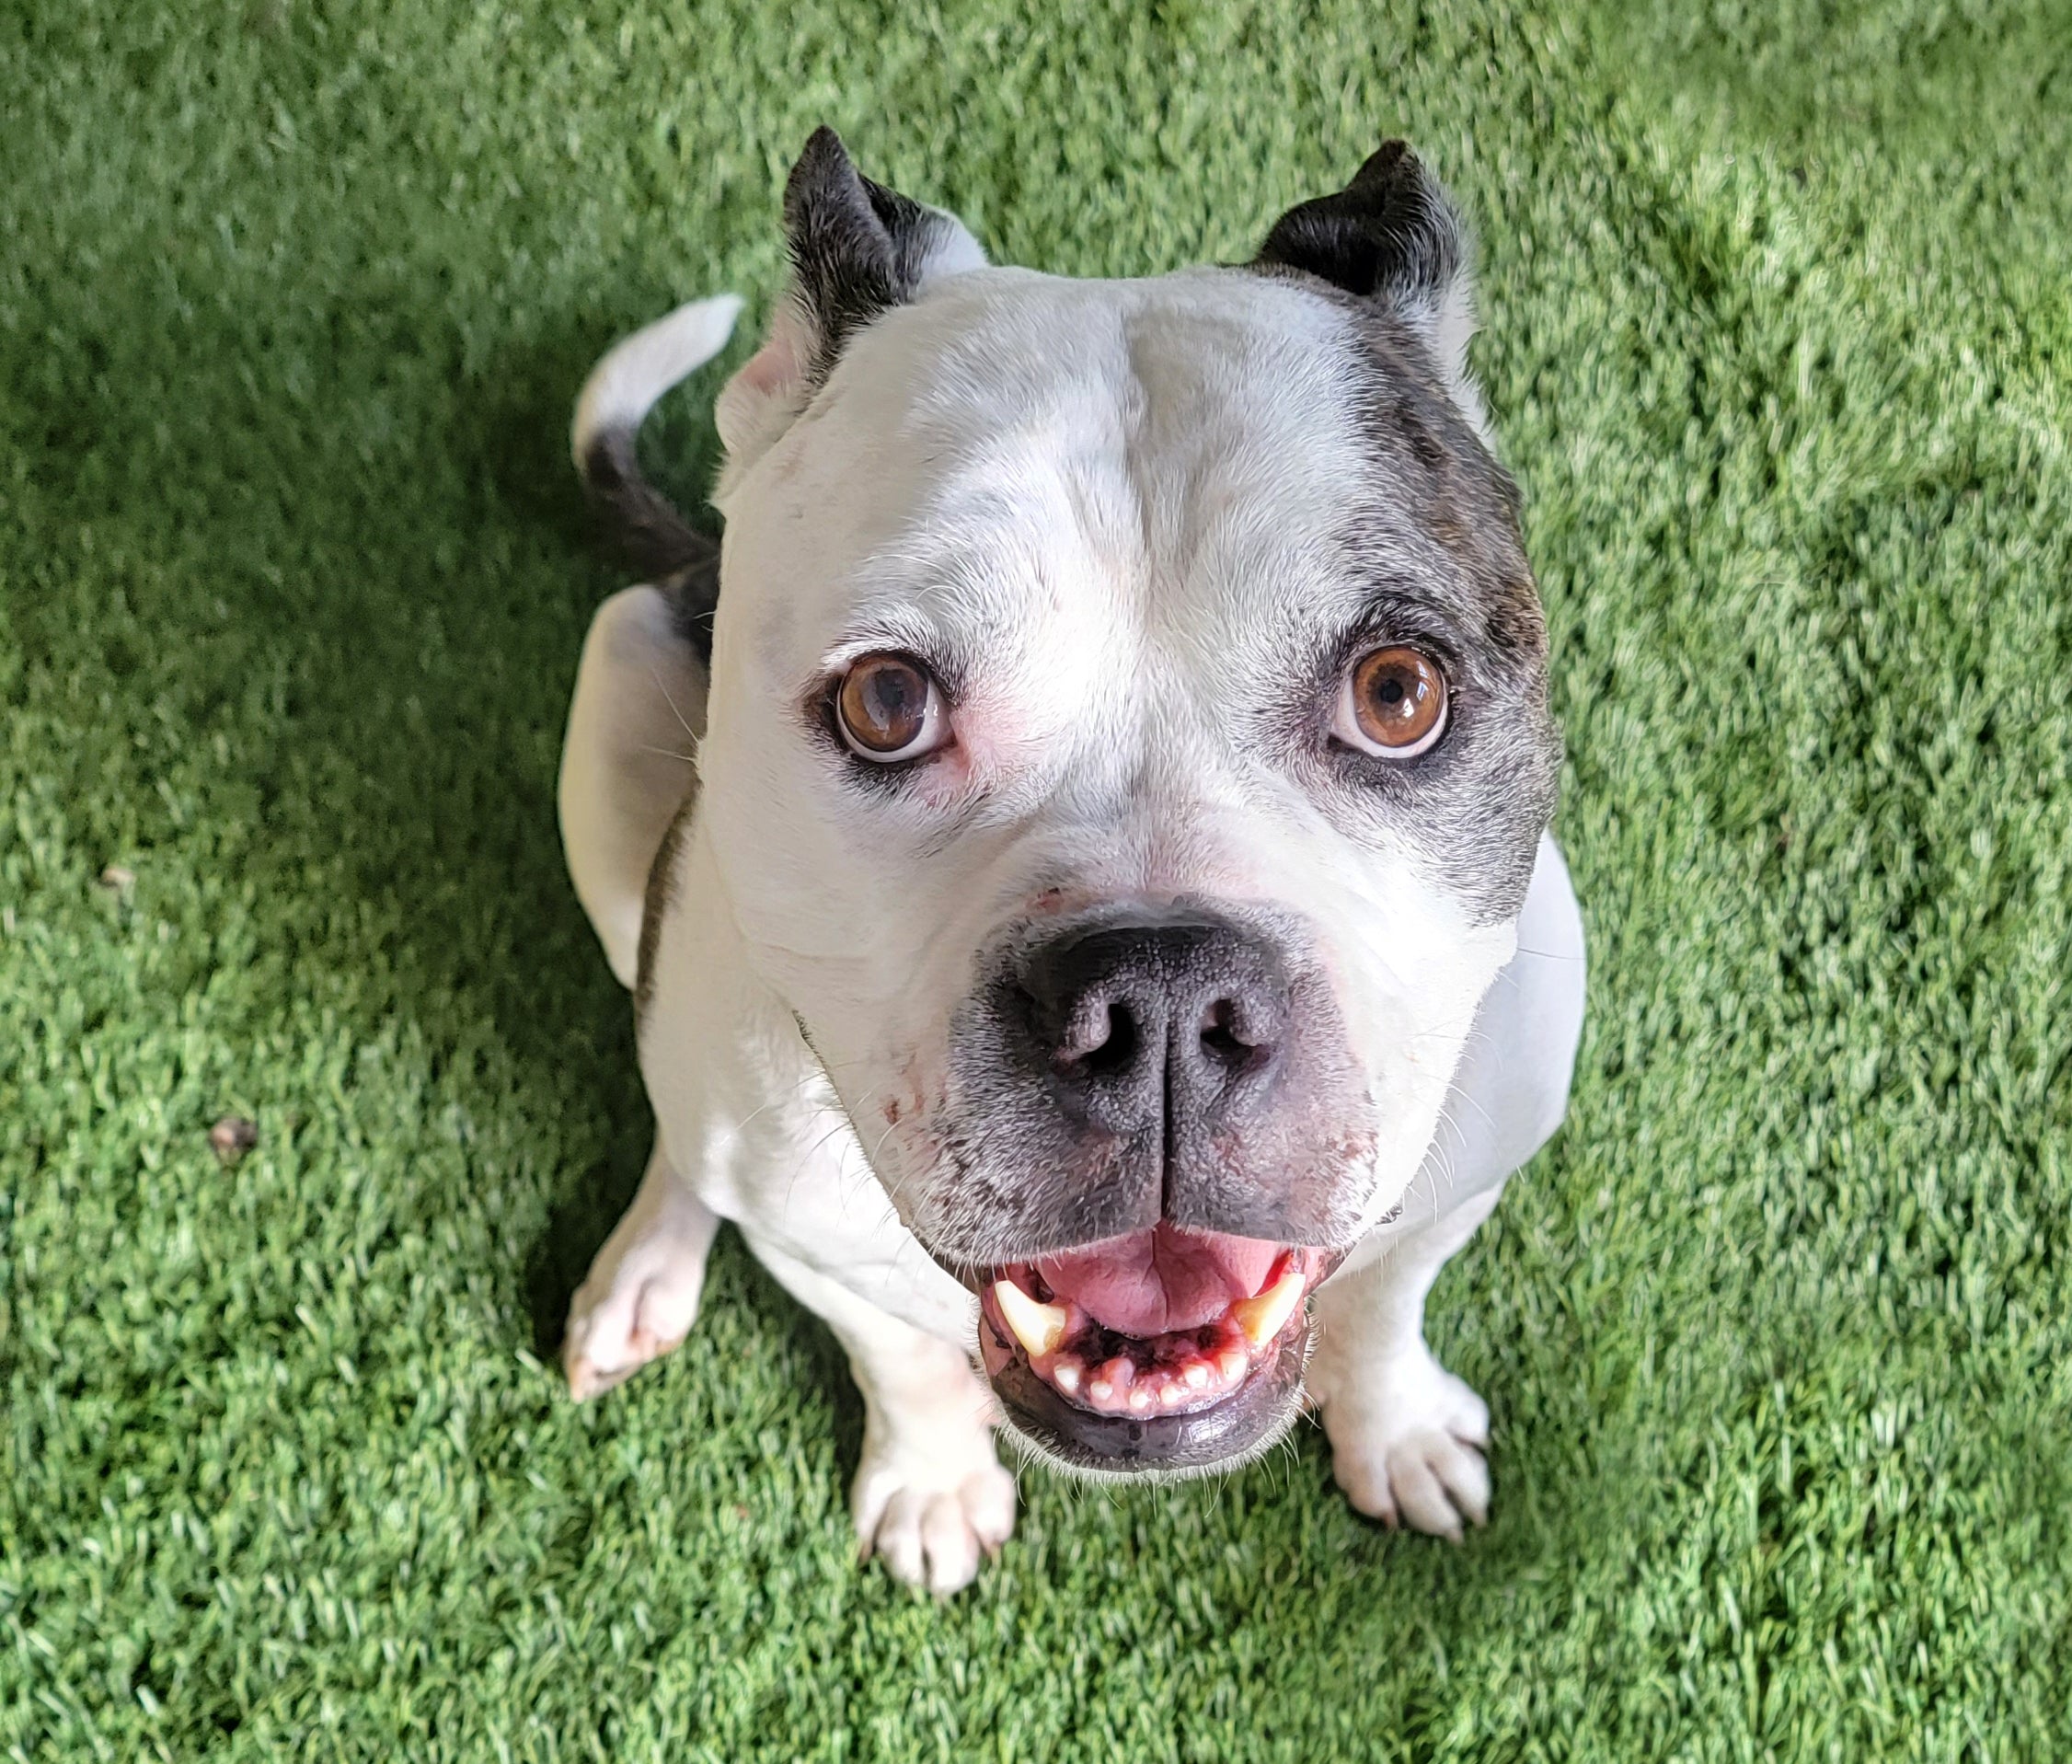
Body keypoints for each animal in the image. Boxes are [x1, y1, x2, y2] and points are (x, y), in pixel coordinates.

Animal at [555, 129, 1585, 1591]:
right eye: (885, 702)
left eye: (1398, 694)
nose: (1157, 998)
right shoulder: (825, 1255)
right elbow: (898, 1358)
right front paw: (931, 1480)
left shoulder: (1458, 1185)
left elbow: (1387, 1304)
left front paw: (1391, 1428)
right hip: (615, 711)